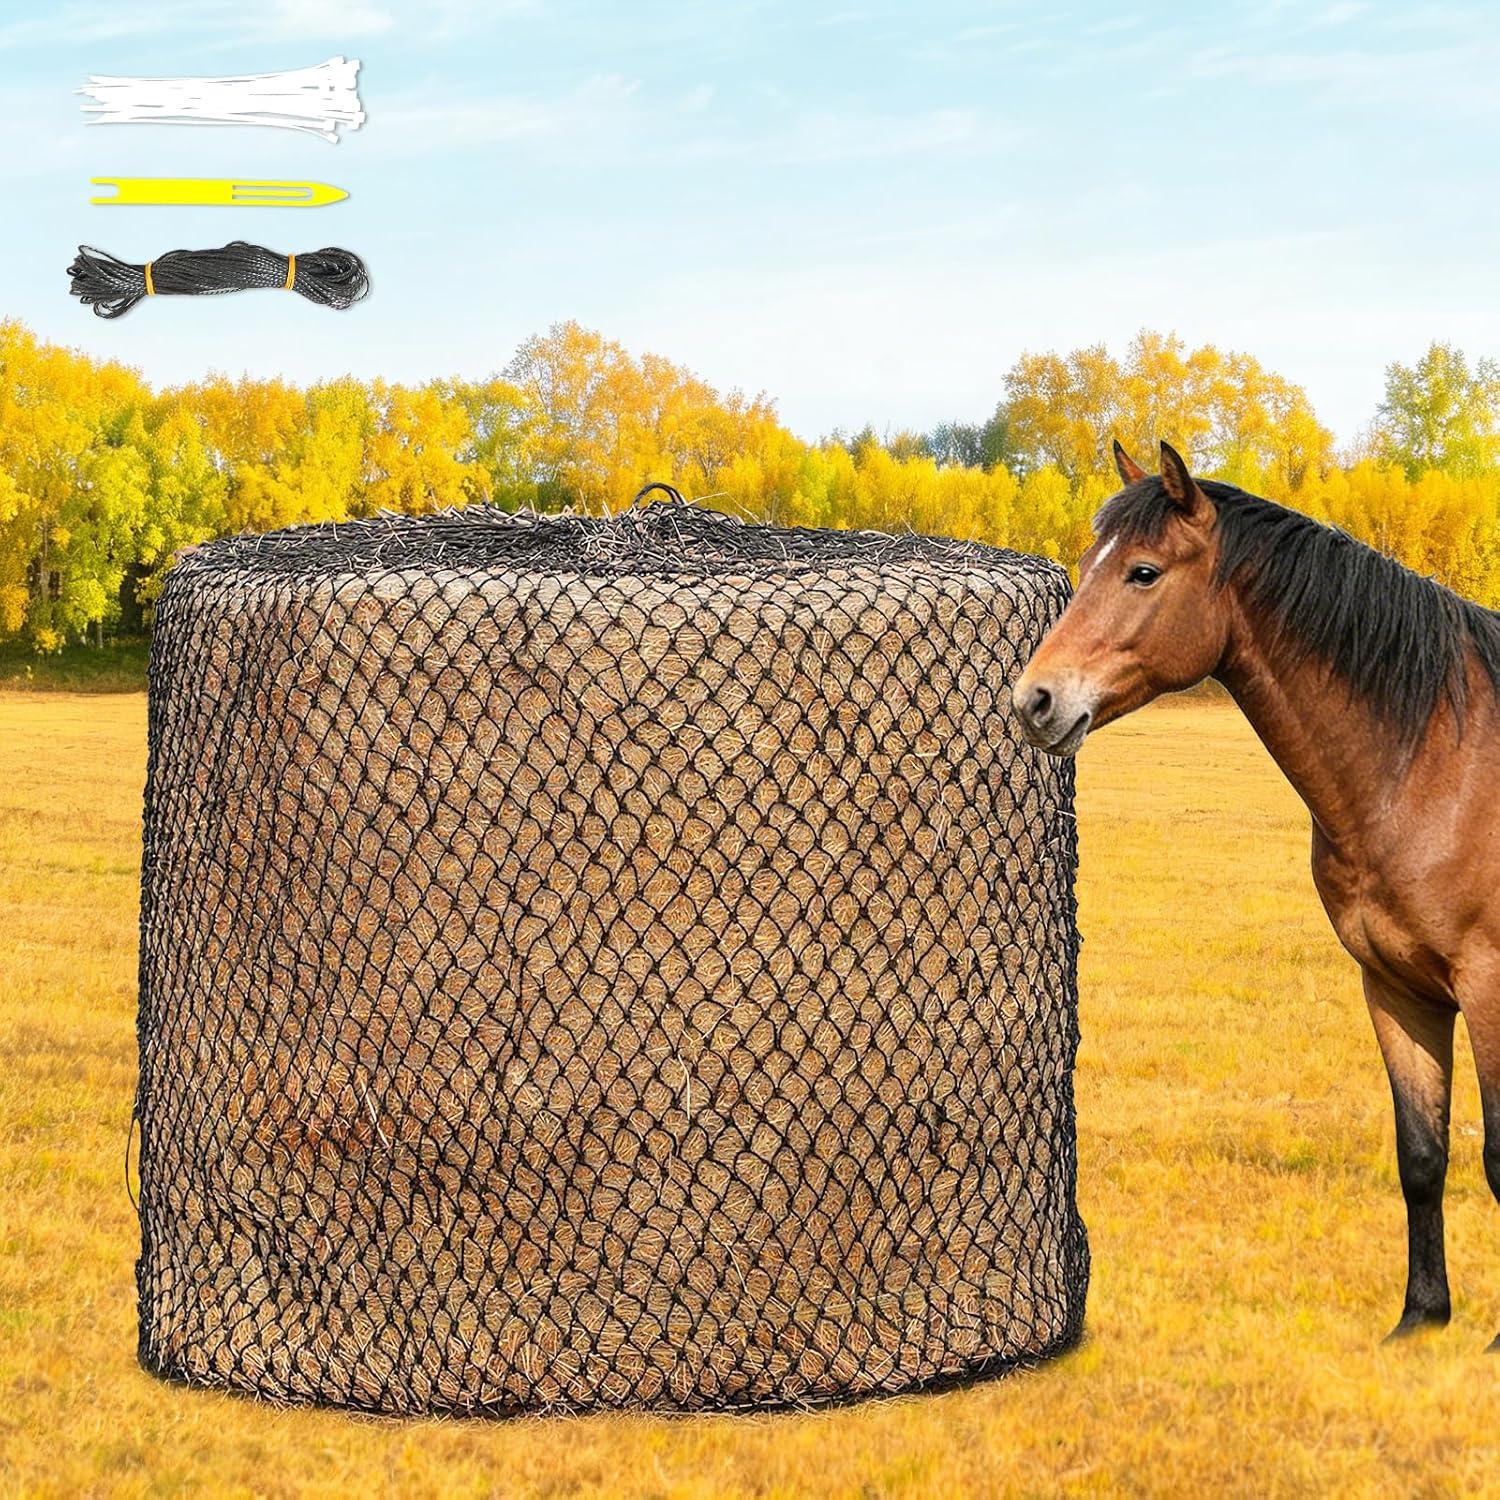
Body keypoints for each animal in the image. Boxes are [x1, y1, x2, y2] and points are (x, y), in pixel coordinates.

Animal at [1013, 439, 1500, 1348]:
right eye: (1089, 564)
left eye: (1142, 571)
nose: (1035, 700)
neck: (1435, 760)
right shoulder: (1396, 988)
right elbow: (1423, 1157)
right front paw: (1421, 1321)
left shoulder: (1486, 987)